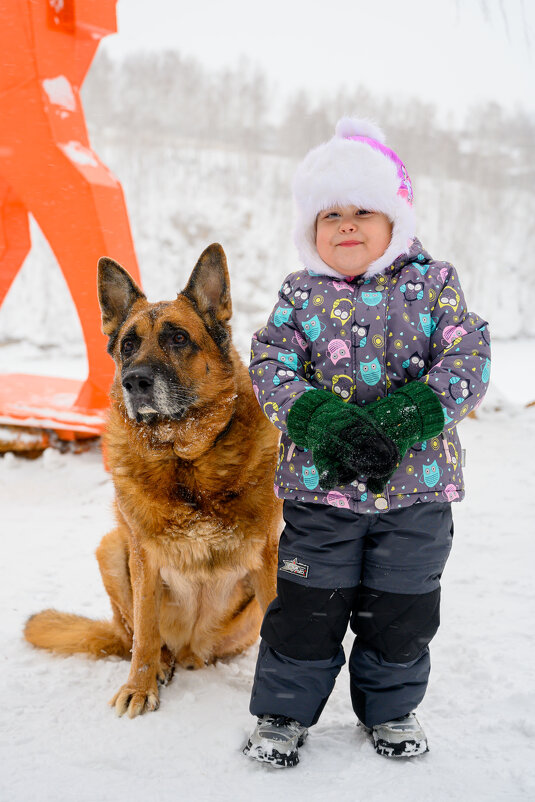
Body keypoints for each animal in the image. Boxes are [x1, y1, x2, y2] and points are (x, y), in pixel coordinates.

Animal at [24, 244, 284, 720]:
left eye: (178, 338)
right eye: (128, 345)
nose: (134, 381)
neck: (186, 461)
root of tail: (190, 649)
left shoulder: (268, 557)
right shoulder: (143, 557)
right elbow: (145, 633)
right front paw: (139, 687)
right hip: (112, 547)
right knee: (139, 638)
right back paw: (162, 664)